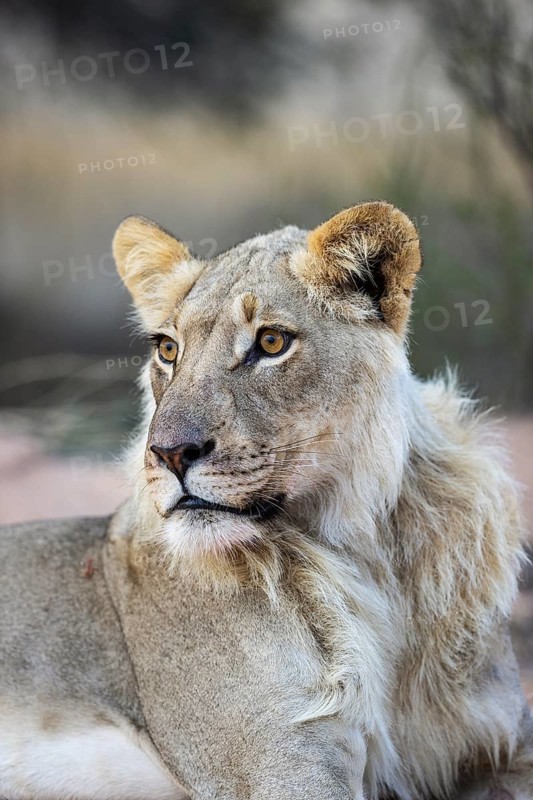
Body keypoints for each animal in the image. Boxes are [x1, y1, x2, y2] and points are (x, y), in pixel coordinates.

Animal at [0, 201, 531, 800]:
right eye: (168, 349)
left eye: (272, 342)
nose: (169, 453)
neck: (372, 555)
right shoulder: (282, 768)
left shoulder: (506, 742)